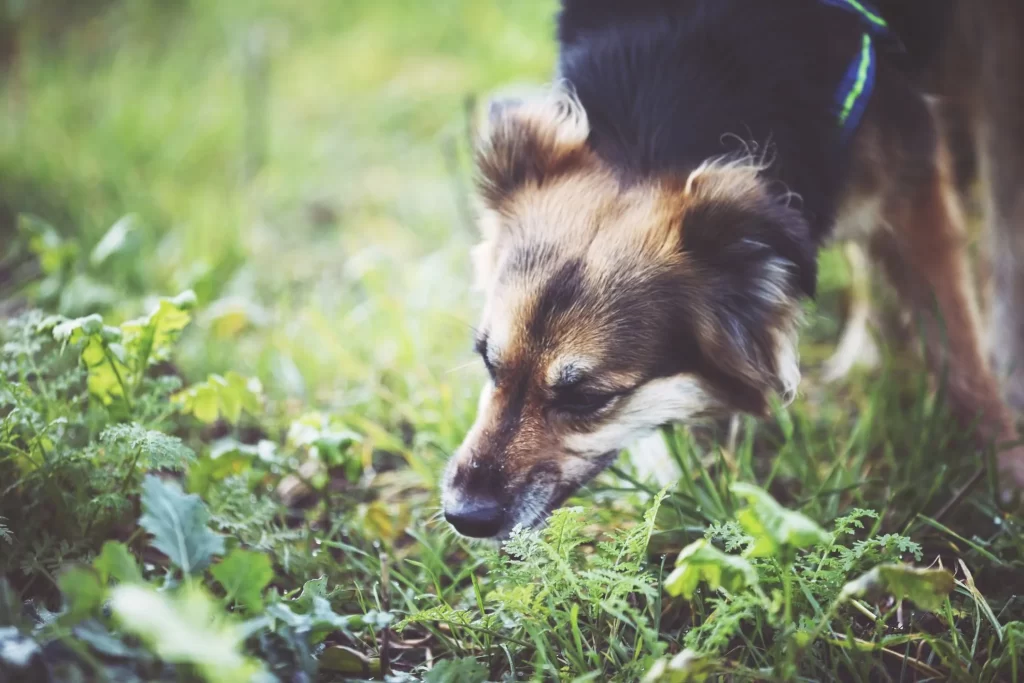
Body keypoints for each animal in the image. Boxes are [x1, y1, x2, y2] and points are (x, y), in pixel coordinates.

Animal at [440, 0, 1024, 540]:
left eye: (589, 399)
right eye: (489, 363)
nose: (463, 516)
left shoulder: (910, 184)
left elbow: (959, 353)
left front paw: (1000, 475)